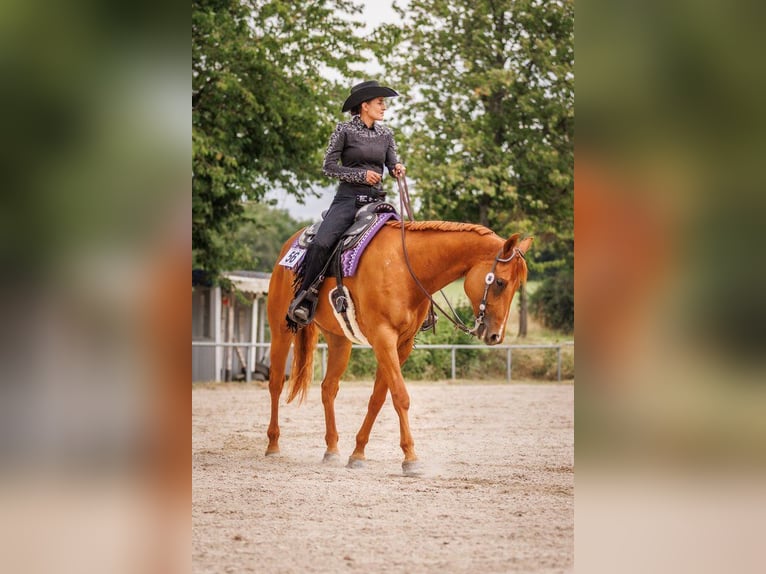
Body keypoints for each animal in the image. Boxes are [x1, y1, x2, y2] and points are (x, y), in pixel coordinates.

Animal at [265, 220, 533, 474]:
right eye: (500, 282)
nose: (495, 335)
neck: (405, 268)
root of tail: (289, 246)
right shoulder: (384, 339)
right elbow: (400, 396)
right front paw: (410, 459)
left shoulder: (402, 345)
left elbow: (378, 398)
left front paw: (358, 453)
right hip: (280, 330)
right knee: (276, 383)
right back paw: (273, 445)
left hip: (339, 340)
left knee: (328, 388)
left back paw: (332, 449)